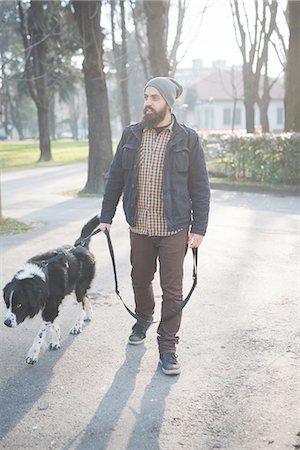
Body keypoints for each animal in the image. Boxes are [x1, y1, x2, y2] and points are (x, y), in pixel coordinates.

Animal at [2, 221, 98, 366]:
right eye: (8, 304)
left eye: (19, 305)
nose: (6, 323)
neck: (39, 277)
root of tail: (81, 246)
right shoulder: (50, 303)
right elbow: (53, 324)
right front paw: (55, 340)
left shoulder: (51, 307)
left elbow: (40, 334)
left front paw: (33, 354)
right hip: (75, 287)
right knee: (86, 297)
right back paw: (89, 314)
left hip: (79, 288)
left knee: (81, 303)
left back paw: (77, 325)